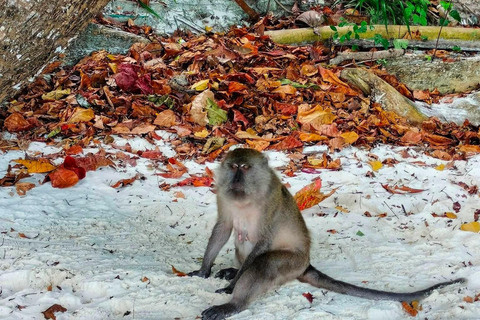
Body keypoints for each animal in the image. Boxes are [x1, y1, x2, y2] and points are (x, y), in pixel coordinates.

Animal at [189, 149, 466, 318]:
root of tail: (306, 263)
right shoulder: (223, 195)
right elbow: (223, 227)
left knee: (263, 263)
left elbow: (263, 242)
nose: (236, 179)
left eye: (245, 168)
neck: (246, 197)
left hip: (293, 263)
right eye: (233, 166)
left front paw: (232, 287)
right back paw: (232, 271)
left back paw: (234, 304)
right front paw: (204, 270)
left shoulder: (270, 200)